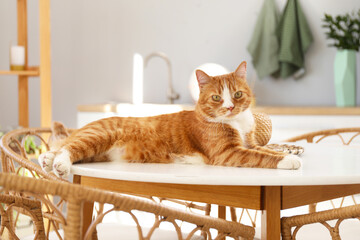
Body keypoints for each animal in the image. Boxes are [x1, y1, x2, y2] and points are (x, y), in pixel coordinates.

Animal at [38, 62, 300, 178]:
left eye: (237, 94)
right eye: (217, 97)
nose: (229, 107)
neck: (237, 123)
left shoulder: (250, 142)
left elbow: (266, 150)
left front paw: (288, 154)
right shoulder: (227, 152)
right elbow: (261, 157)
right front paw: (289, 160)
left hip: (97, 152)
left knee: (65, 147)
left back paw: (47, 158)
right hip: (99, 136)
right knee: (69, 148)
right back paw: (60, 164)